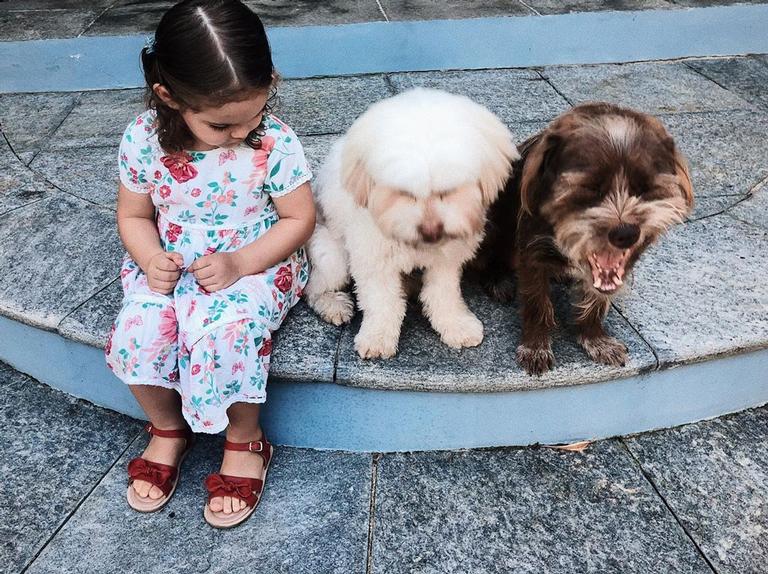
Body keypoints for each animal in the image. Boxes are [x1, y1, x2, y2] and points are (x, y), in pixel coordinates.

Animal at [304, 89, 520, 360]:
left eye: (448, 191)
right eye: (405, 193)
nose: (431, 231)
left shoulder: (446, 260)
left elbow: (443, 295)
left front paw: (457, 326)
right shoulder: (373, 259)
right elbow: (382, 302)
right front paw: (378, 338)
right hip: (333, 257)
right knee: (314, 289)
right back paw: (334, 305)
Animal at [476, 101, 692, 376]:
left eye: (644, 188)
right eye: (589, 188)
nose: (626, 234)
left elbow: (597, 301)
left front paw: (596, 340)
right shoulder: (533, 254)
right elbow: (537, 303)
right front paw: (536, 347)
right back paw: (497, 280)